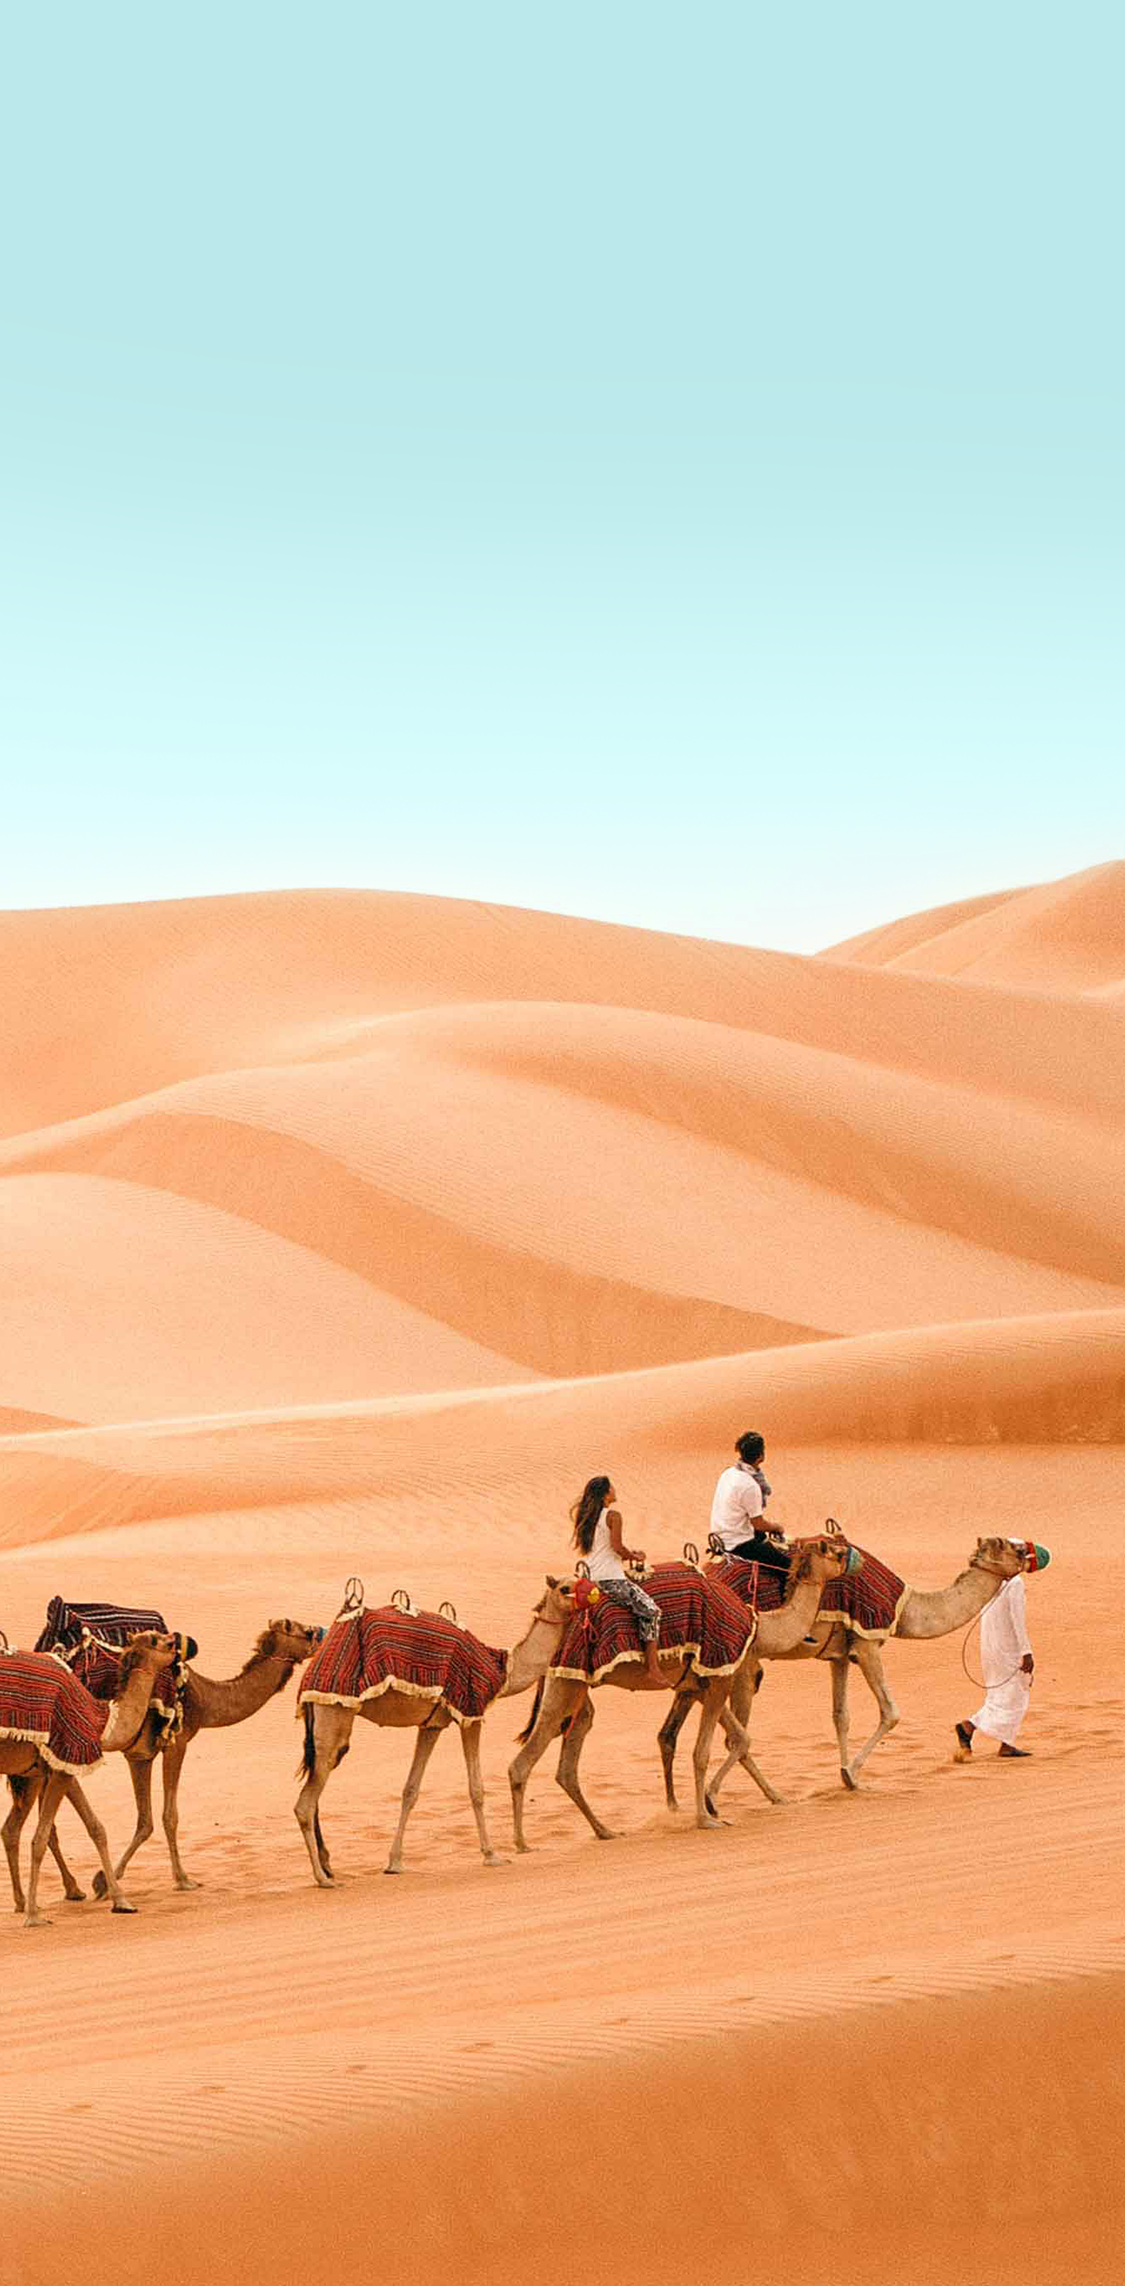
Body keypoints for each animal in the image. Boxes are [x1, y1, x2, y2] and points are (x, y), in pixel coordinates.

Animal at [0, 1627, 178, 1929]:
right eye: (157, 1640)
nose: (177, 1640)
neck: (101, 1722)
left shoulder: (59, 1767)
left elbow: (96, 1829)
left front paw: (120, 1900)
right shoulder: (66, 1760)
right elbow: (41, 1838)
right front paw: (34, 1916)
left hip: (27, 1775)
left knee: (10, 1829)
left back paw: (21, 1901)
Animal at [37, 1618, 322, 1901]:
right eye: (305, 1631)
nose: (320, 1637)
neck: (205, 1698)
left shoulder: (140, 1755)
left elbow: (145, 1822)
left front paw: (104, 1881)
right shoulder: (177, 1742)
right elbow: (168, 1816)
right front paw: (182, 1879)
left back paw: (70, 1889)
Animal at [294, 1581, 580, 1883]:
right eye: (566, 1587)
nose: (593, 1593)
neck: (504, 1670)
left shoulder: (431, 1725)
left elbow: (411, 1790)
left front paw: (394, 1862)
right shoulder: (471, 1713)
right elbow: (476, 1789)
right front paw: (492, 1855)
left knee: (314, 1789)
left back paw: (327, 1867)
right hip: (334, 1713)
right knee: (305, 1803)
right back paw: (322, 1878)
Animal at [507, 1527, 850, 1847]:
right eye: (832, 1552)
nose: (849, 1558)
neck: (758, 1625)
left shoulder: (699, 1681)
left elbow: (739, 1738)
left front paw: (769, 1797)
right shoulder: (720, 1671)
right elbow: (704, 1751)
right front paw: (706, 1815)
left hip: (575, 1687)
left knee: (568, 1763)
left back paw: (604, 1830)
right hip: (566, 1681)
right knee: (524, 1761)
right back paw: (522, 1844)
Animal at [663, 1527, 1033, 1810]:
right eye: (1007, 1545)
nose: (1030, 1551)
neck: (907, 1607)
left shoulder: (839, 1656)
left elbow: (841, 1716)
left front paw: (845, 1775)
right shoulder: (868, 1641)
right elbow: (890, 1711)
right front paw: (852, 1775)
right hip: (740, 1660)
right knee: (734, 1732)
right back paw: (735, 1796)